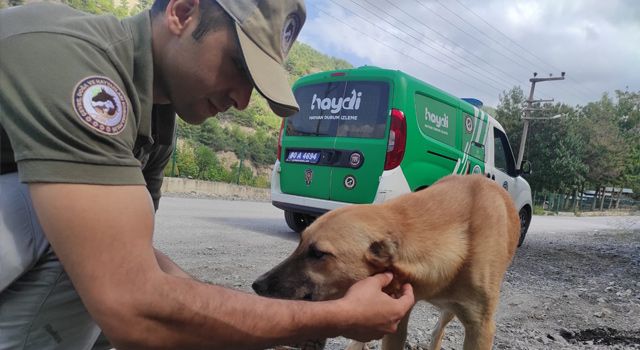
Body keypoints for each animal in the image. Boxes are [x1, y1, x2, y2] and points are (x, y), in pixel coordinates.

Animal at [252, 175, 524, 350]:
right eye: (300, 242)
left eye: (318, 253)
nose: (257, 285)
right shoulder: (395, 316)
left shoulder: (481, 327)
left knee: (438, 329)